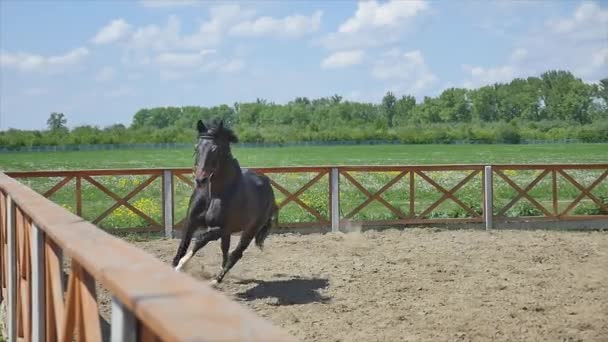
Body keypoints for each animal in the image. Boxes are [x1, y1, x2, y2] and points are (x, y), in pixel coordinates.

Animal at [170, 119, 276, 284]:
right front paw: (174, 265)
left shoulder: (223, 228)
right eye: (196, 147)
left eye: (215, 149)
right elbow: (183, 244)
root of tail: (268, 187)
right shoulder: (192, 221)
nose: (200, 180)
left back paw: (217, 280)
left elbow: (200, 240)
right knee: (225, 250)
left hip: (250, 230)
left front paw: (181, 266)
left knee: (236, 254)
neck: (214, 194)